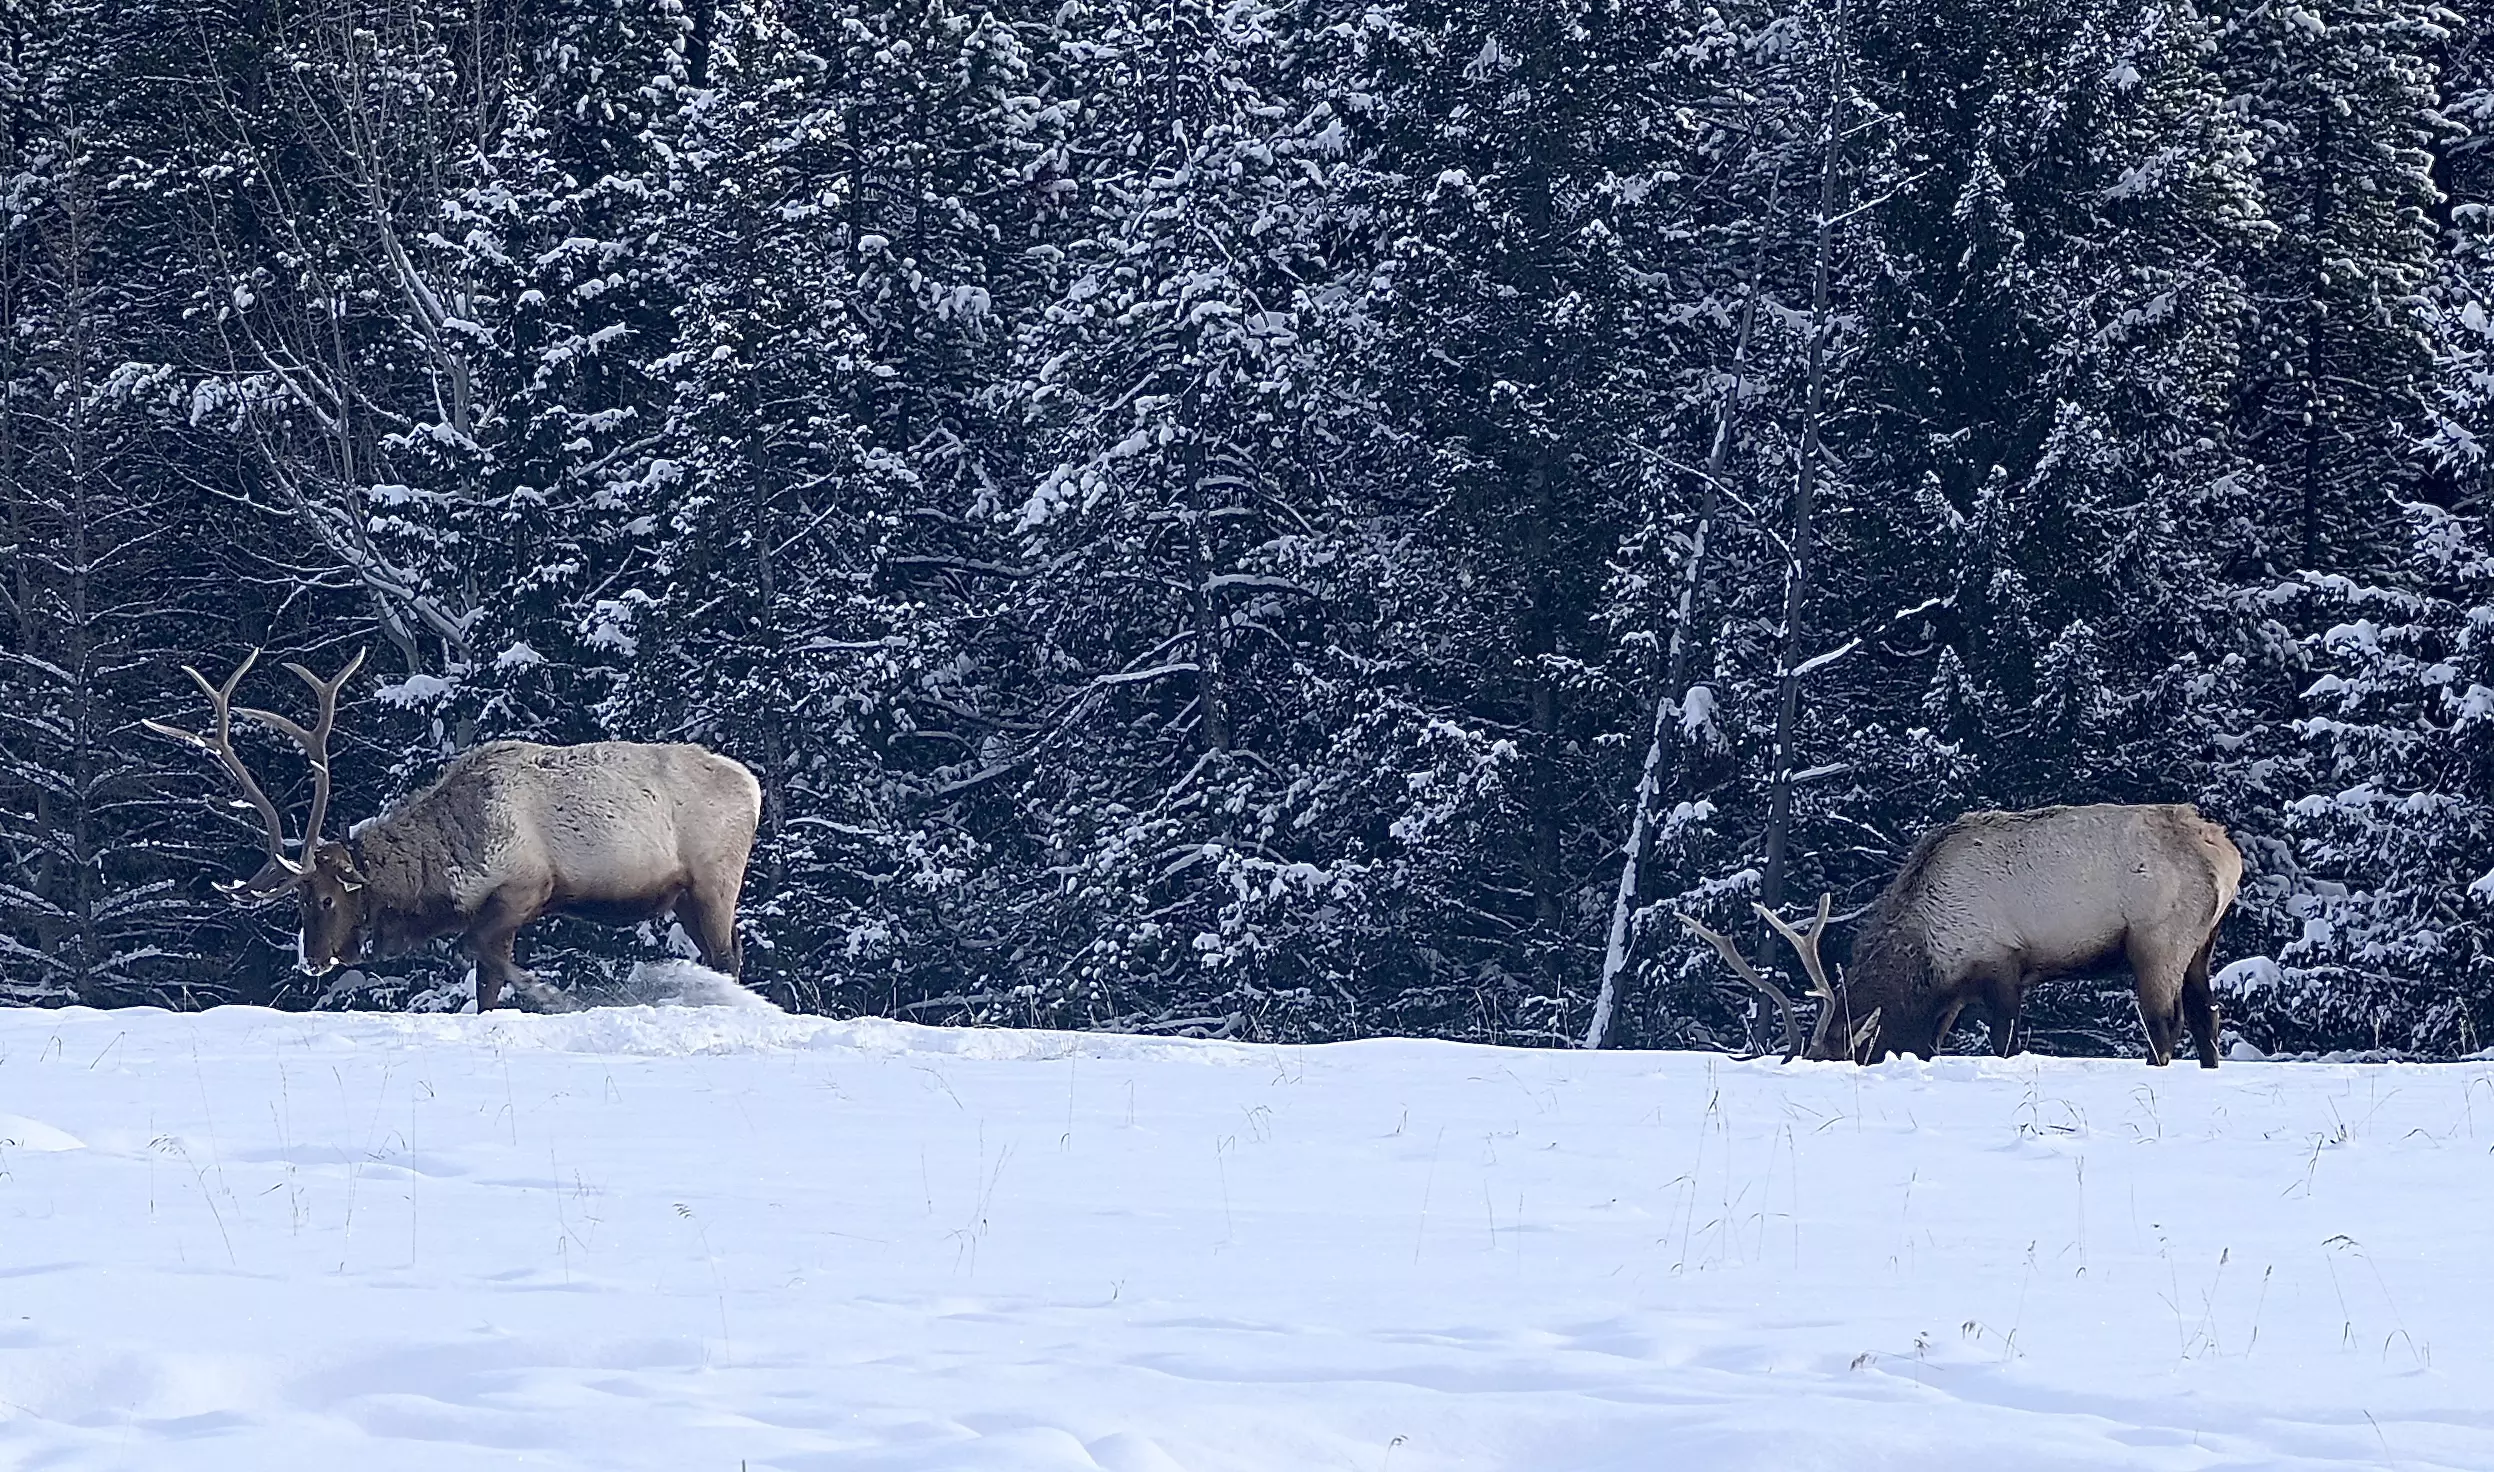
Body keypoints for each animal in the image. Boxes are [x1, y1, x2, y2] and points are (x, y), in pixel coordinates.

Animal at [145, 649, 762, 1011]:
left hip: (716, 880)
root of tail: (754, 785)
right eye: (295, 900)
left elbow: (484, 961)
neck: (447, 872)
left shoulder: (524, 888)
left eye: (324, 898)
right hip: (685, 896)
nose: (313, 960)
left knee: (728, 954)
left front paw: (554, 994)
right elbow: (484, 976)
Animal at [1682, 804, 2243, 1068]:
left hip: (2157, 940)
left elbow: (2002, 1041)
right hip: (2203, 943)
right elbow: (1930, 1045)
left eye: (1837, 1056)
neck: (1929, 956)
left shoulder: (2002, 964)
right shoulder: (1954, 994)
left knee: (2164, 1024)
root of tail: (2226, 854)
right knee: (2206, 1016)